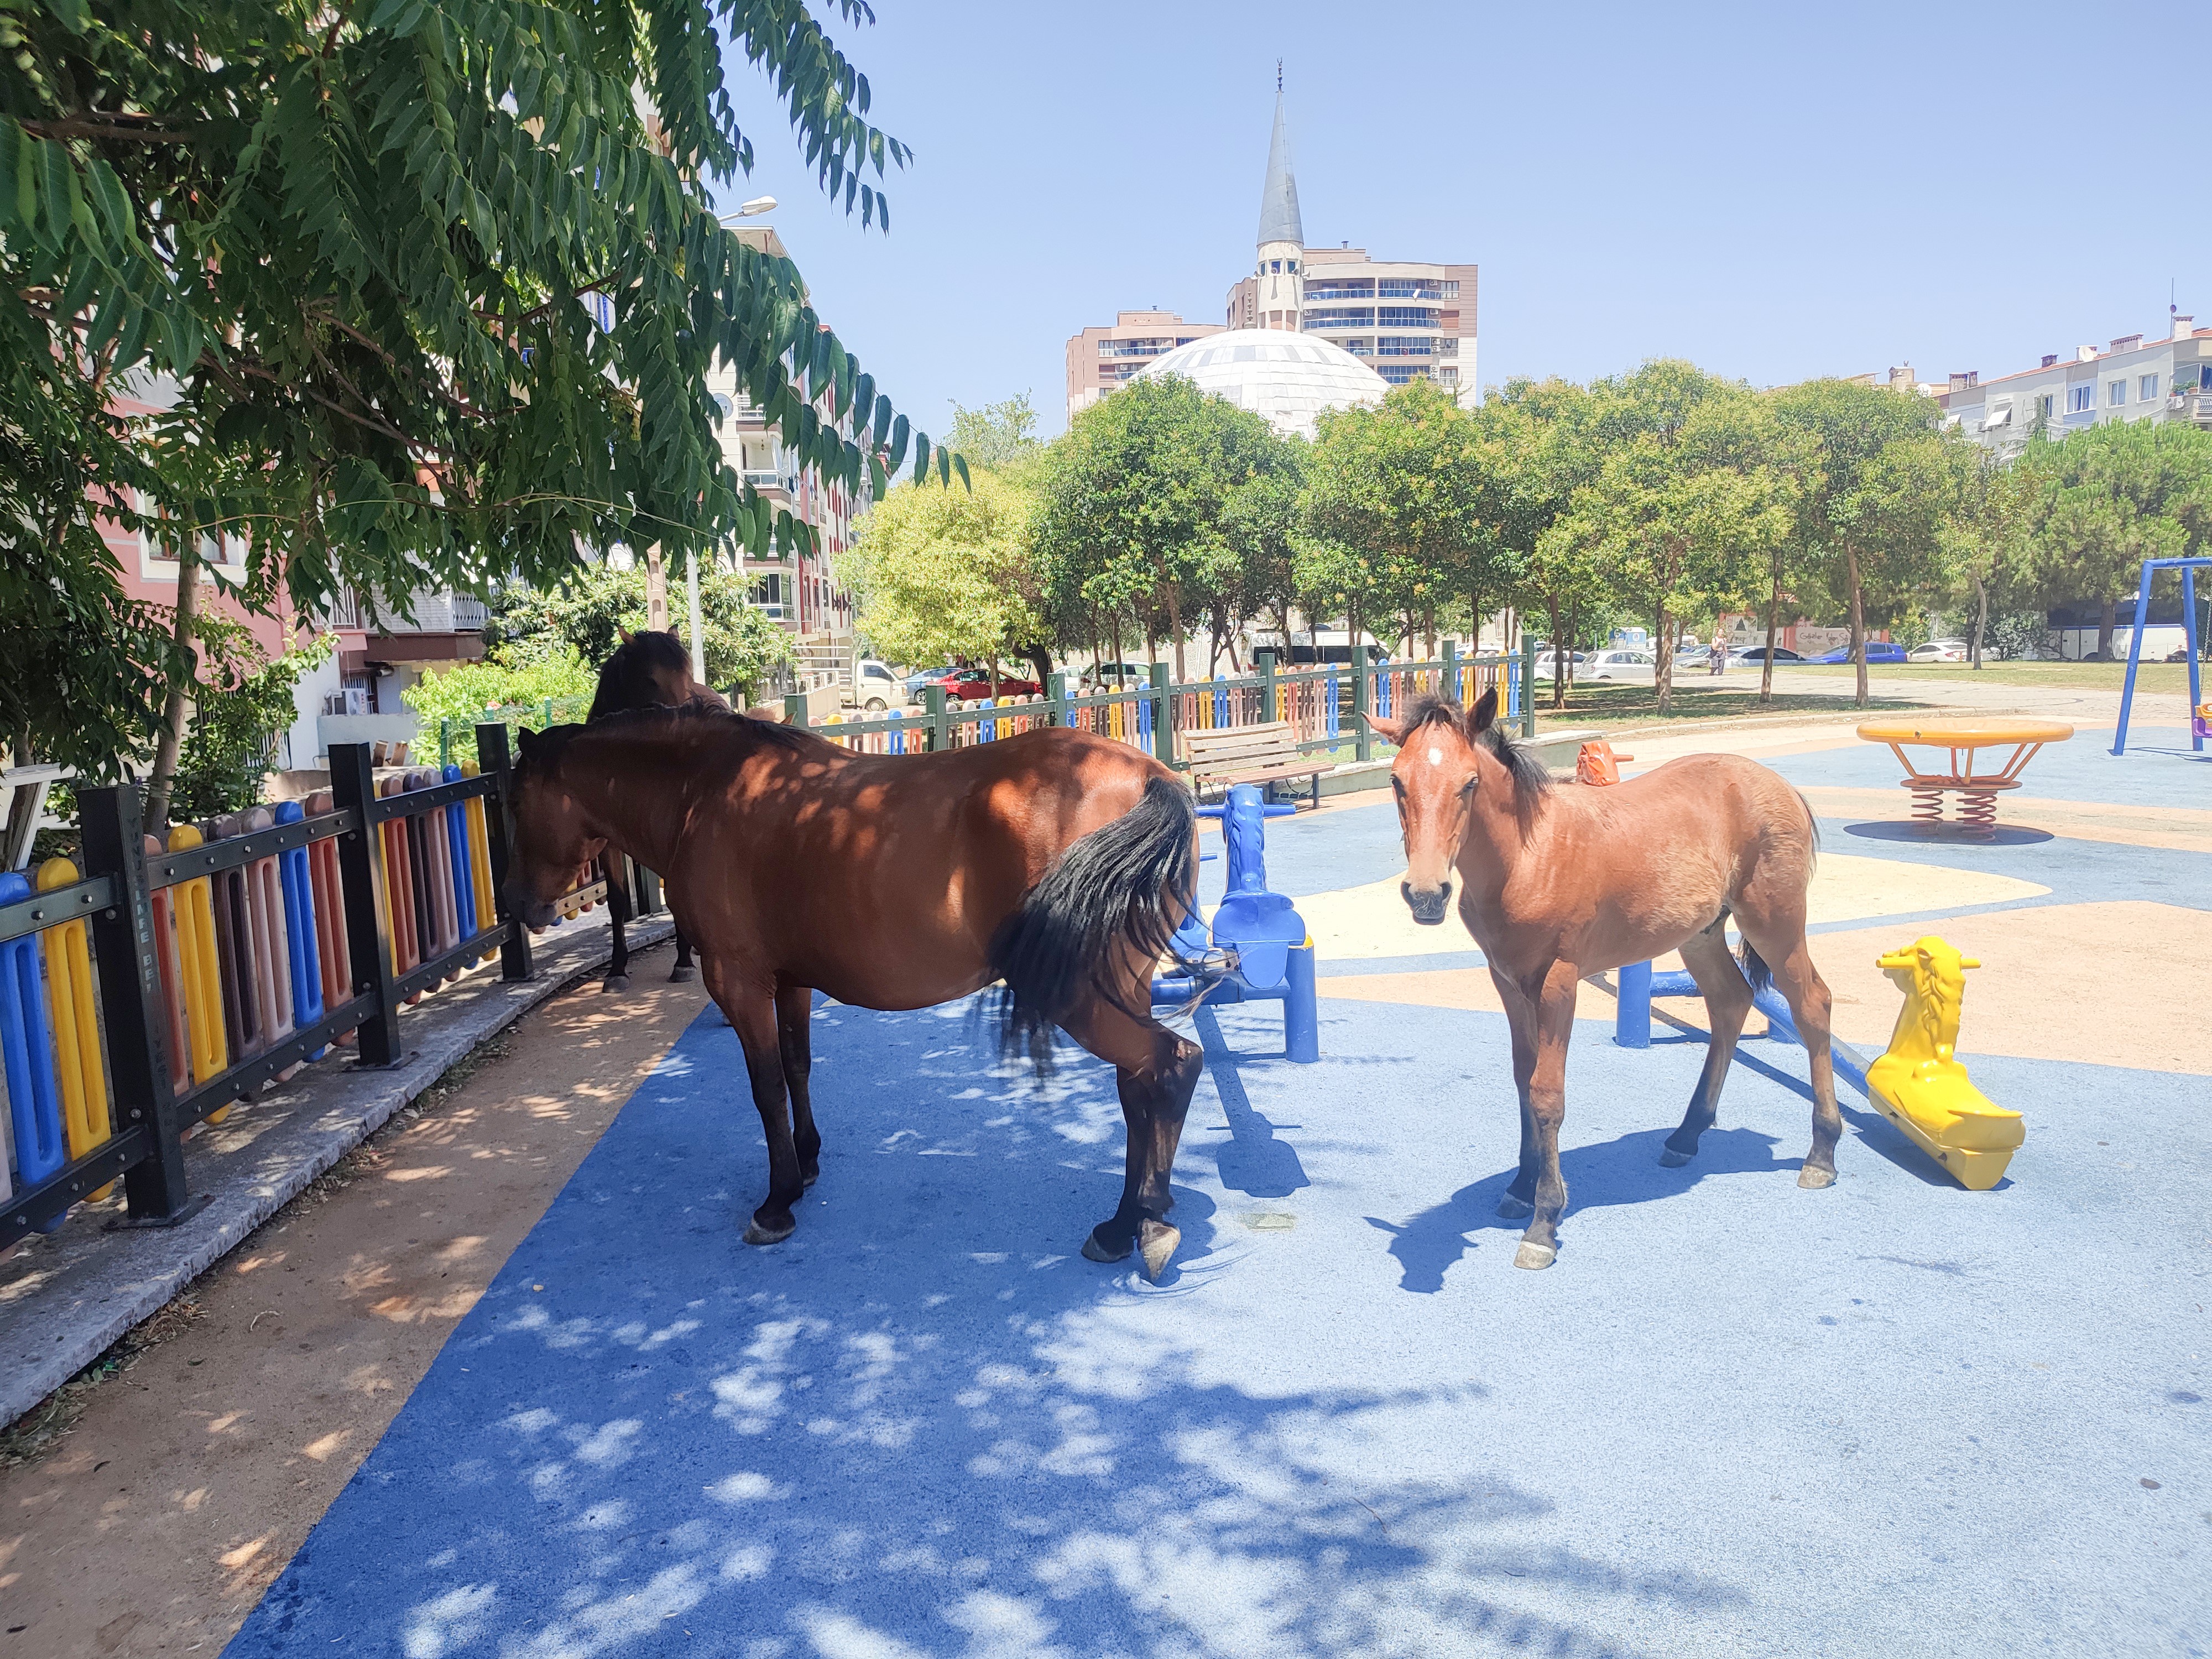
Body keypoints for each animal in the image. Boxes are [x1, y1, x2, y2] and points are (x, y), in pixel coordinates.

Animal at [498, 708, 1212, 1283]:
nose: (520, 906)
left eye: (516, 805)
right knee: (1139, 1086)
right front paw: (807, 1162)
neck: (706, 793)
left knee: (1170, 1065)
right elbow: (796, 1067)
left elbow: (765, 1088)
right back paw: (1128, 1224)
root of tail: (1152, 779)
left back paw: (1138, 1224)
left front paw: (777, 1201)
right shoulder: (790, 982)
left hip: (1079, 994)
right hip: (1121, 986)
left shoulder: (738, 980)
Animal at [1371, 690, 1840, 1274]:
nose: (1426, 894)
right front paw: (1520, 1185)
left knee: (1812, 1005)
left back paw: (1821, 1153)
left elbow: (1547, 1093)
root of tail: (1781, 785)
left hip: (1775, 921)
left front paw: (1543, 1222)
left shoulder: (1559, 980)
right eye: (1397, 781)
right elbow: (1522, 1079)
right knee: (1731, 1002)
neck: (1526, 859)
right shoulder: (1507, 980)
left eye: (1470, 783)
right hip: (1701, 934)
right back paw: (1686, 1136)